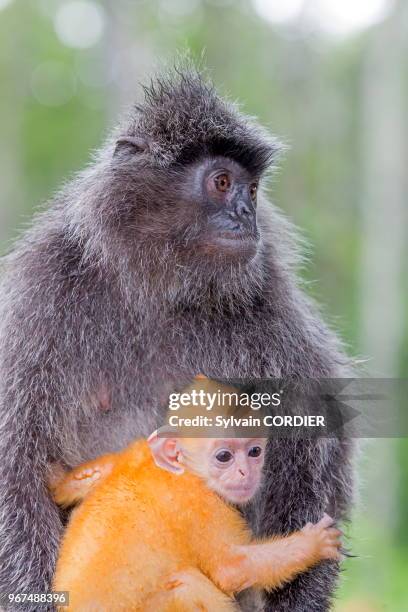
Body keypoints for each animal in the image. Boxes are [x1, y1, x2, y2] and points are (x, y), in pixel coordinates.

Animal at [51, 382, 342, 608]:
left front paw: (61, 480)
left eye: (254, 452)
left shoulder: (135, 452)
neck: (177, 469)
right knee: (185, 584)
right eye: (224, 456)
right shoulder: (199, 503)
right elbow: (231, 568)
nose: (246, 473)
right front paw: (314, 544)